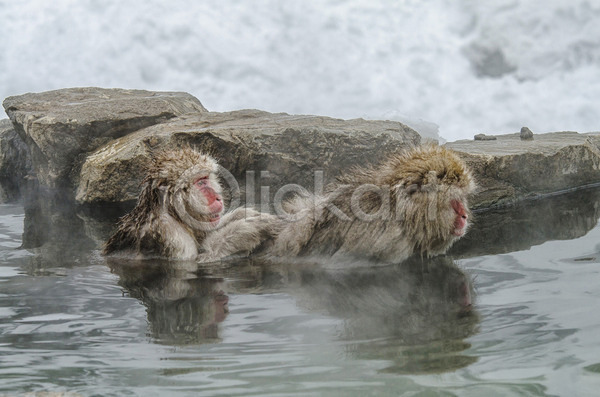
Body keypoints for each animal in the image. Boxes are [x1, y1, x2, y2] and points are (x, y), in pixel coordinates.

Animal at [103, 145, 278, 260]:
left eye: (207, 178)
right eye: (200, 183)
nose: (217, 197)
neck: (173, 213)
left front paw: (242, 214)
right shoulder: (171, 233)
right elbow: (195, 261)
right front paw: (249, 228)